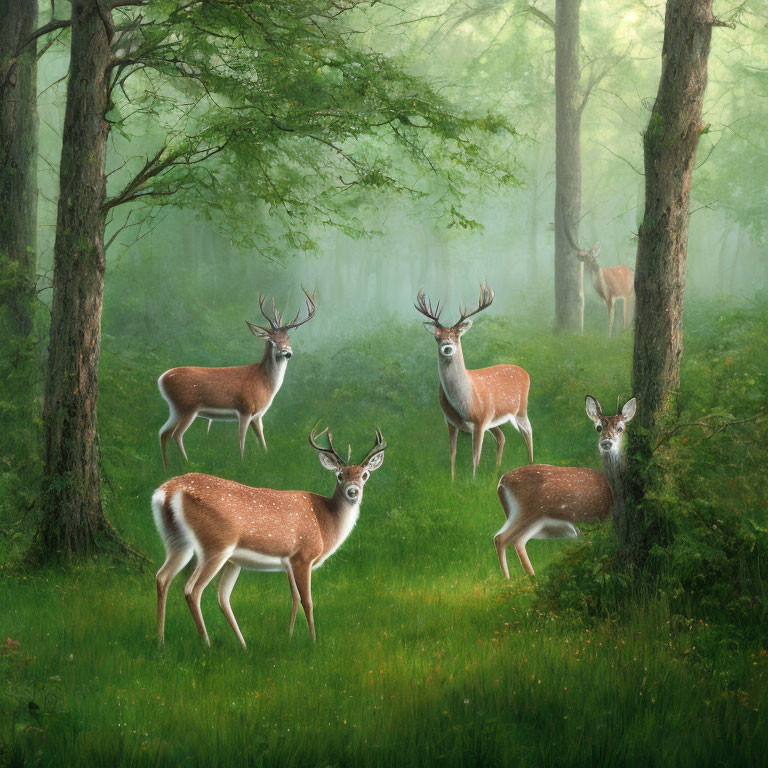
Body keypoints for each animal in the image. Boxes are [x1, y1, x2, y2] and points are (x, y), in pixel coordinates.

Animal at [153, 426, 388, 648]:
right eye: (339, 475)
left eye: (364, 475)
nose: (353, 491)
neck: (325, 522)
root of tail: (168, 491)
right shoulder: (303, 556)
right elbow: (307, 601)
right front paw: (313, 641)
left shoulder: (290, 562)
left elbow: (294, 598)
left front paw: (290, 637)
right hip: (215, 545)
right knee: (192, 590)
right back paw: (206, 643)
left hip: (181, 543)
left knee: (169, 579)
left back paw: (165, 640)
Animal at [158, 288, 316, 468]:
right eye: (272, 340)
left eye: (287, 338)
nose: (287, 352)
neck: (264, 382)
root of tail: (162, 378)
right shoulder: (245, 408)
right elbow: (241, 441)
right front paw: (242, 462)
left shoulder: (257, 416)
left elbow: (263, 443)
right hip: (187, 406)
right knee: (176, 434)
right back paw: (187, 463)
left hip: (175, 408)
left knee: (163, 432)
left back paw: (166, 467)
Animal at [414, 284, 536, 480]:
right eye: (437, 337)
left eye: (457, 335)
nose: (447, 347)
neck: (463, 401)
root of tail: (525, 372)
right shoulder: (450, 422)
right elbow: (453, 453)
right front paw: (453, 480)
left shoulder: (480, 420)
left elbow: (475, 456)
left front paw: (472, 481)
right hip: (495, 420)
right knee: (502, 436)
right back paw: (496, 470)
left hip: (520, 409)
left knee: (528, 431)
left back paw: (531, 463)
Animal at [492, 396, 636, 576]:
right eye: (598, 427)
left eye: (620, 428)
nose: (606, 442)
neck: (615, 494)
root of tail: (501, 482)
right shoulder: (595, 521)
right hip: (527, 511)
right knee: (503, 539)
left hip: (533, 518)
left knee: (514, 540)